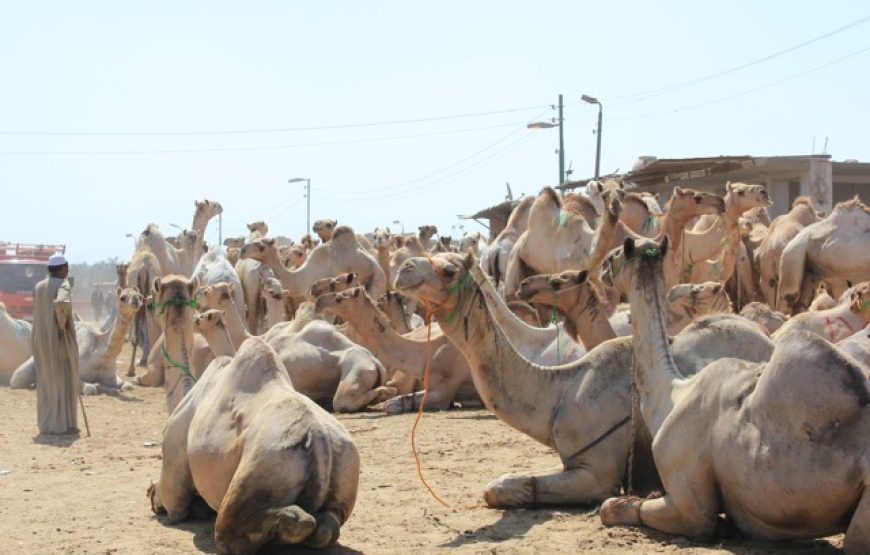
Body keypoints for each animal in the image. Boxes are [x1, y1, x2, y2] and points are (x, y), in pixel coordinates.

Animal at [11, 288, 144, 394]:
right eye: (123, 297)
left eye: (140, 295)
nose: (136, 301)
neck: (100, 356)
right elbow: (91, 388)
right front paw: (99, 386)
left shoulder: (111, 377)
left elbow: (128, 385)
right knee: (17, 379)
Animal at [148, 332, 360, 552]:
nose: (152, 500)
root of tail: (319, 440)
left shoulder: (175, 448)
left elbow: (175, 502)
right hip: (346, 455)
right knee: (330, 523)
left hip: (269, 454)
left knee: (227, 531)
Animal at [394, 251, 768, 508]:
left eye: (449, 270)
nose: (404, 269)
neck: (559, 392)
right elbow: (500, 486)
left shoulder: (596, 471)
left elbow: (504, 487)